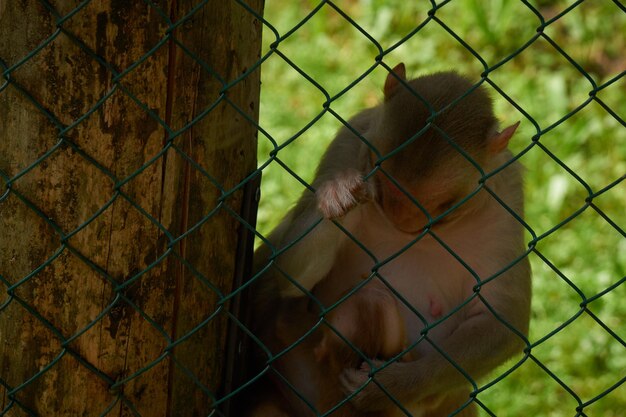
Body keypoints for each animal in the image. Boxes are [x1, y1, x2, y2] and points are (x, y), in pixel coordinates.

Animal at [246, 62, 528, 416]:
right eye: (380, 174)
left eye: (442, 204)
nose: (400, 219)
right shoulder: (350, 139)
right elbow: (288, 272)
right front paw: (340, 194)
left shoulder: (507, 200)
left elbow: (501, 322)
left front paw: (390, 386)